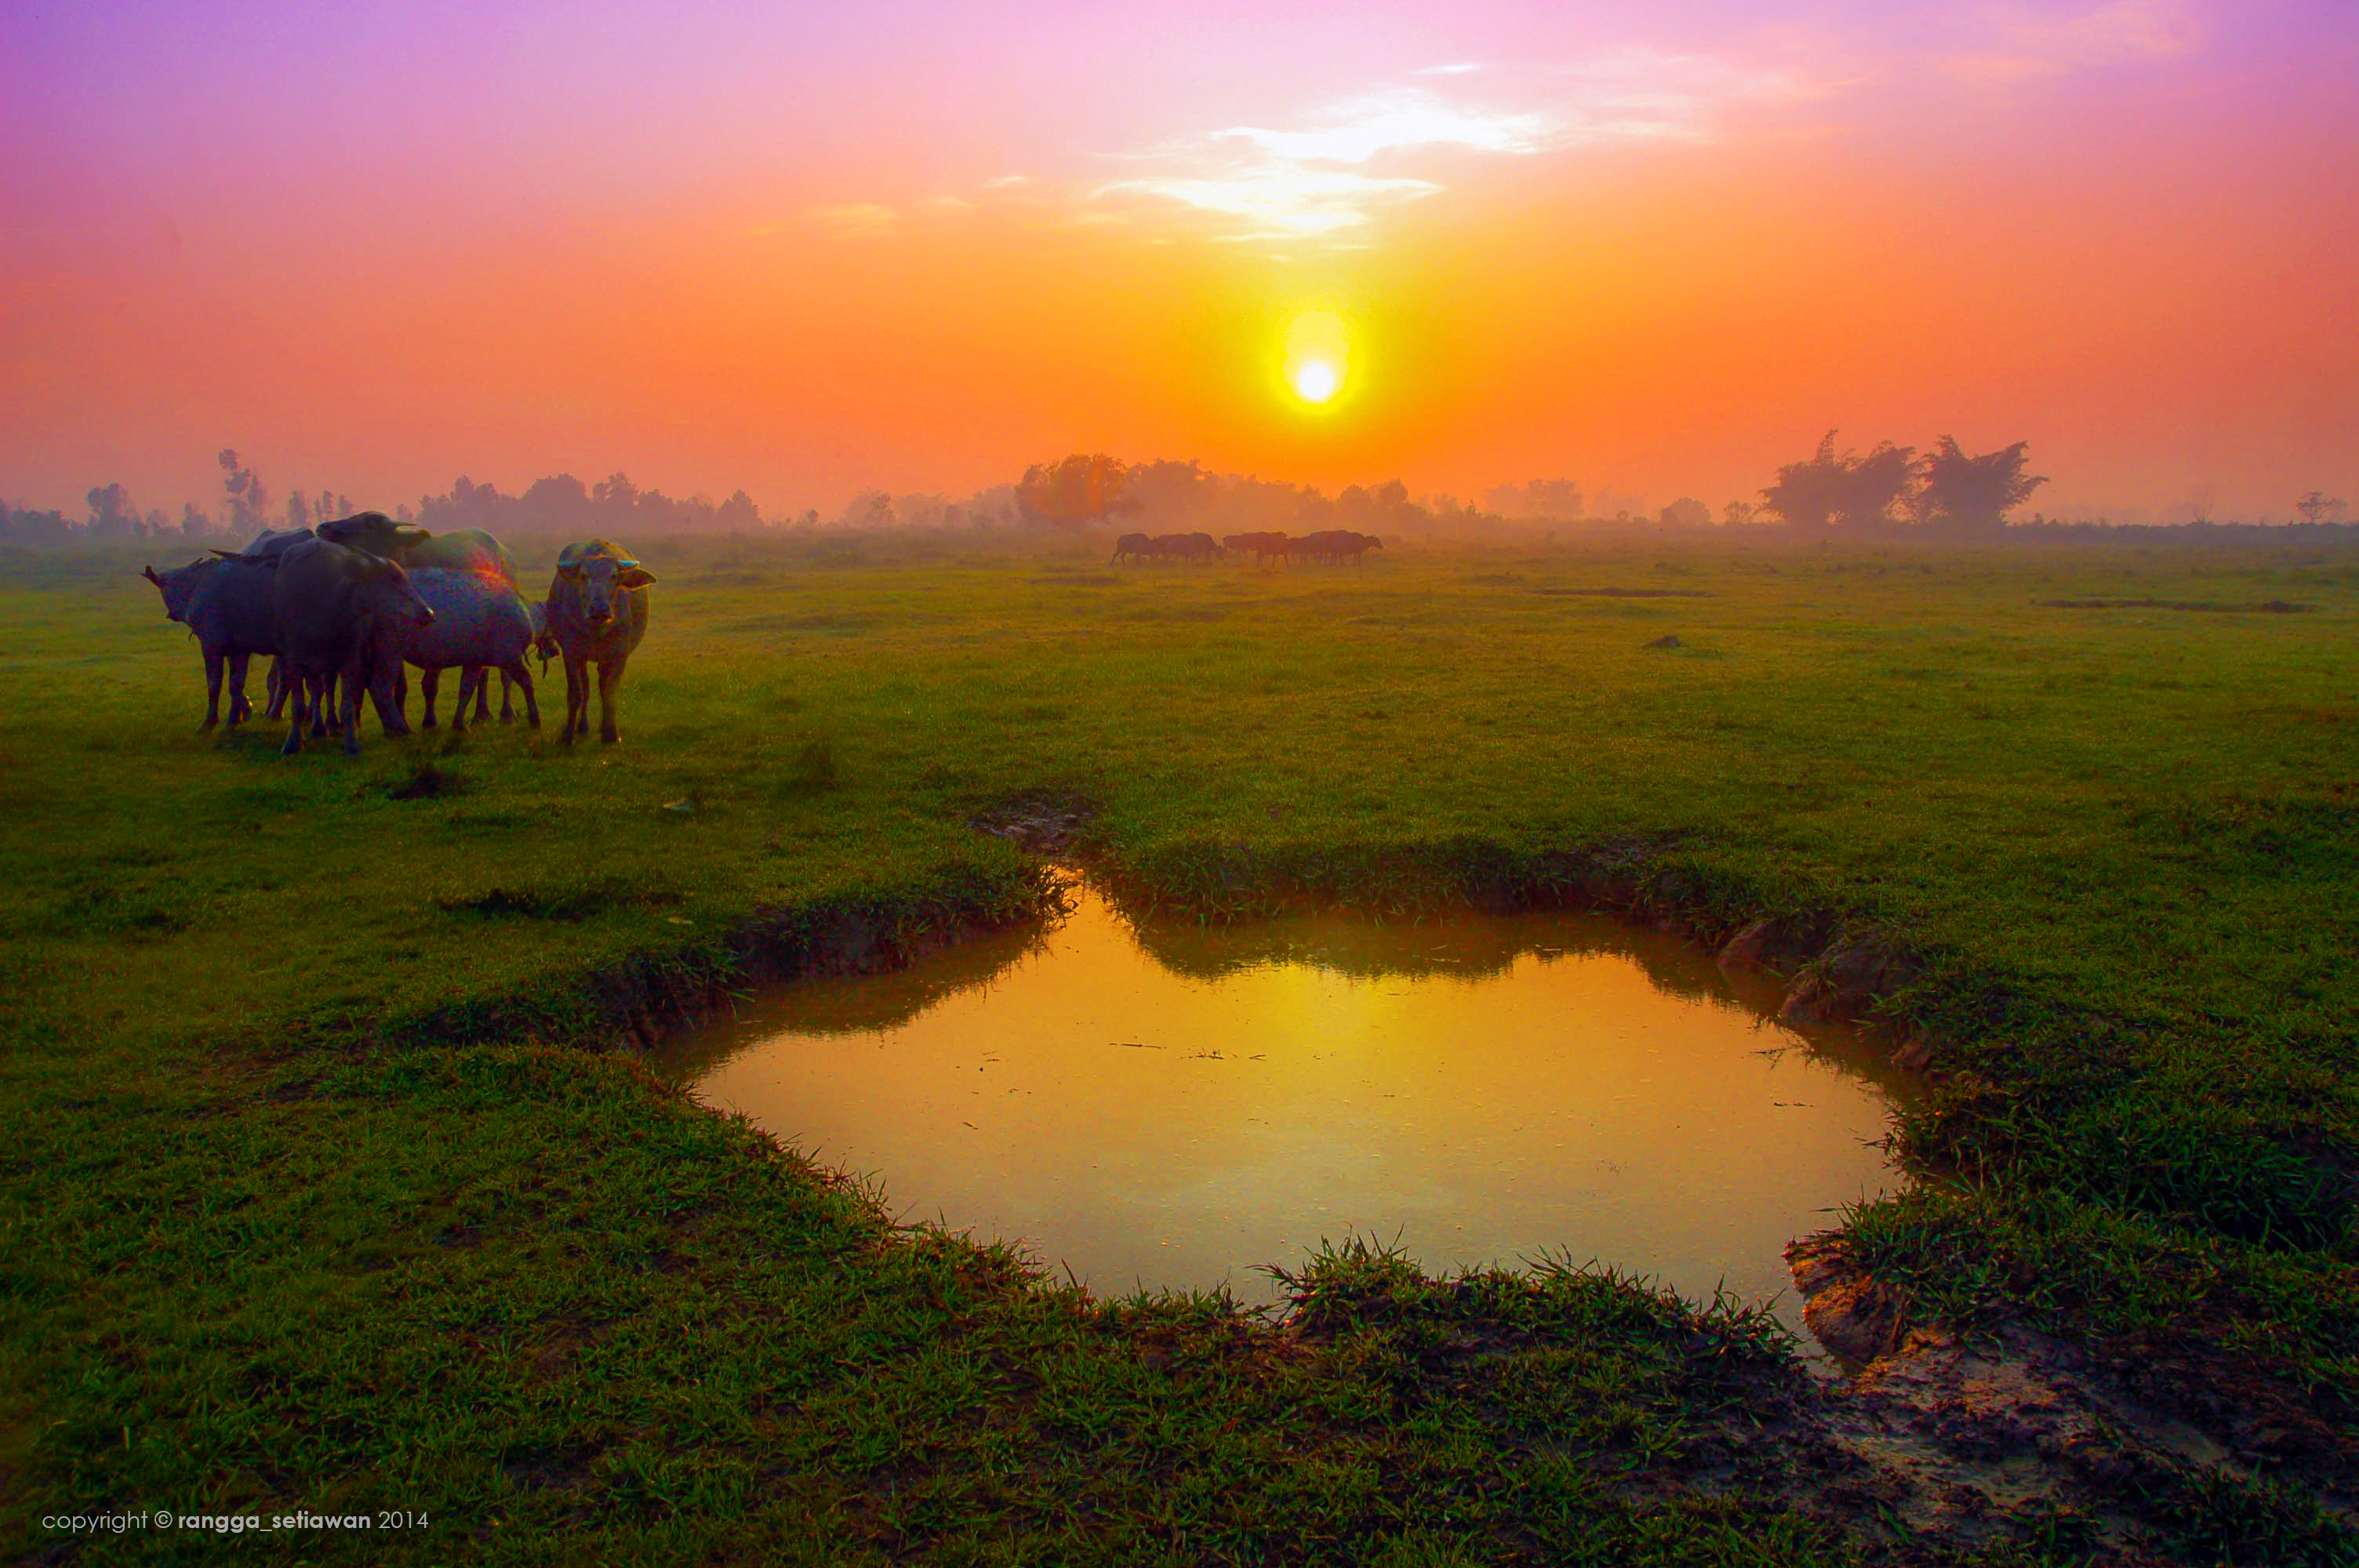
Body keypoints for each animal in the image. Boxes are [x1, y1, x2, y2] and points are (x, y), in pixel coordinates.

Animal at [139, 554, 279, 726]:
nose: (170, 614)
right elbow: (236, 685)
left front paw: (212, 721)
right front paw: (240, 715)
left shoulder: (212, 647)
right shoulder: (237, 650)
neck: (194, 587)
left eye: (163, 588)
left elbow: (215, 684)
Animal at [547, 542, 660, 745]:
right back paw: (582, 727)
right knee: (586, 686)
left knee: (601, 685)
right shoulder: (571, 653)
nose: (599, 608)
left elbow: (609, 693)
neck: (596, 629)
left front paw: (611, 734)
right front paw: (567, 735)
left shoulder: (619, 654)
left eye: (614, 576)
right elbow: (575, 694)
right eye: (584, 576)